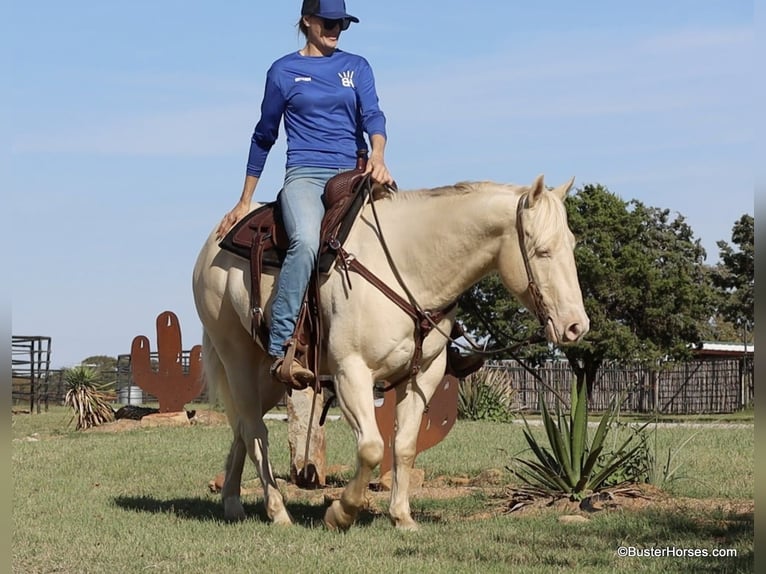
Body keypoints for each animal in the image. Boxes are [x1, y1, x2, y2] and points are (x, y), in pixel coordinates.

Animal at [192, 173, 589, 530]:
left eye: (571, 246)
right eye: (542, 251)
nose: (576, 326)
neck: (408, 267)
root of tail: (213, 244)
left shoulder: (423, 376)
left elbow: (404, 446)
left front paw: (401, 516)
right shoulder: (351, 372)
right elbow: (371, 446)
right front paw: (341, 513)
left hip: (272, 374)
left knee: (242, 427)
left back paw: (232, 502)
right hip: (236, 357)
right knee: (255, 431)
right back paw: (277, 512)